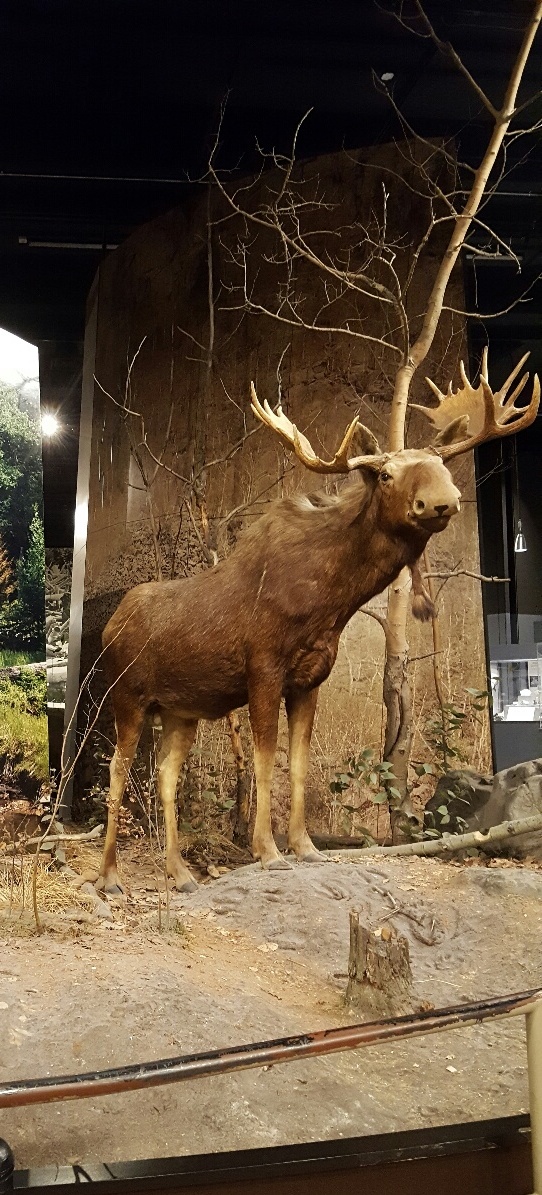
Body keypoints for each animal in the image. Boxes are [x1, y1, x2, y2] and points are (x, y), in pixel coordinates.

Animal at [97, 350, 539, 894]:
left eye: (442, 464)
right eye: (386, 475)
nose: (440, 502)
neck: (329, 604)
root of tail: (108, 626)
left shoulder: (309, 680)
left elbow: (299, 766)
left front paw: (305, 847)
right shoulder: (263, 670)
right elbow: (266, 764)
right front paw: (267, 852)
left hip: (181, 710)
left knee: (164, 775)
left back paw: (180, 874)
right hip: (127, 695)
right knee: (117, 770)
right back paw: (109, 876)